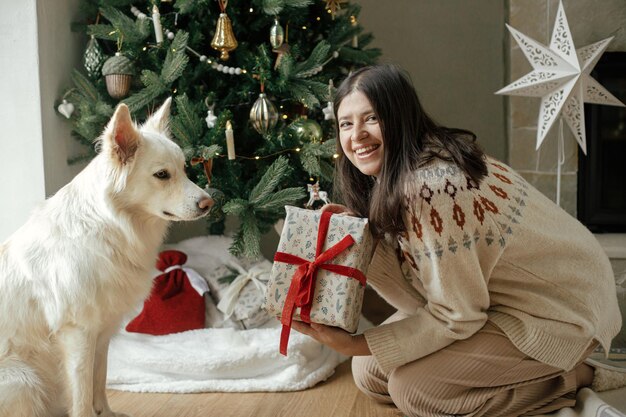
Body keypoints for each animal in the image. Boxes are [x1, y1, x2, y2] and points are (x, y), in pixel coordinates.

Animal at [0, 98, 212, 416]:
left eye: (185, 170)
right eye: (162, 175)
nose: (209, 203)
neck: (108, 226)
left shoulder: (102, 332)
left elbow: (98, 380)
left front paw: (106, 413)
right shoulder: (78, 334)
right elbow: (82, 392)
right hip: (23, 379)